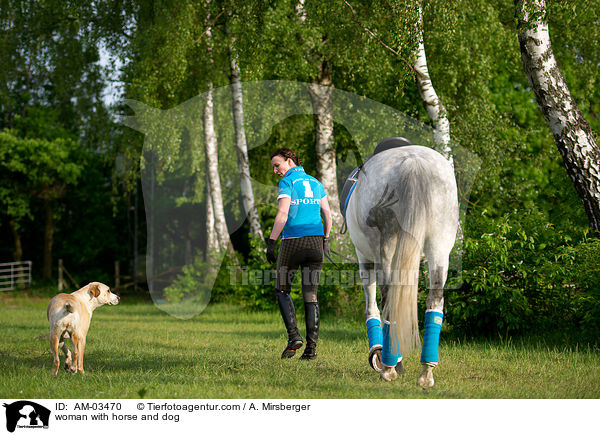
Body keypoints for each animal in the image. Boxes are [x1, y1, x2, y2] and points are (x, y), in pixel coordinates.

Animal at [344, 141, 458, 386]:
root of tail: (413, 161)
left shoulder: (365, 260)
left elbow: (372, 309)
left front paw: (382, 357)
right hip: (439, 249)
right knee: (435, 301)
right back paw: (426, 371)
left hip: (384, 250)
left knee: (389, 298)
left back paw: (389, 367)